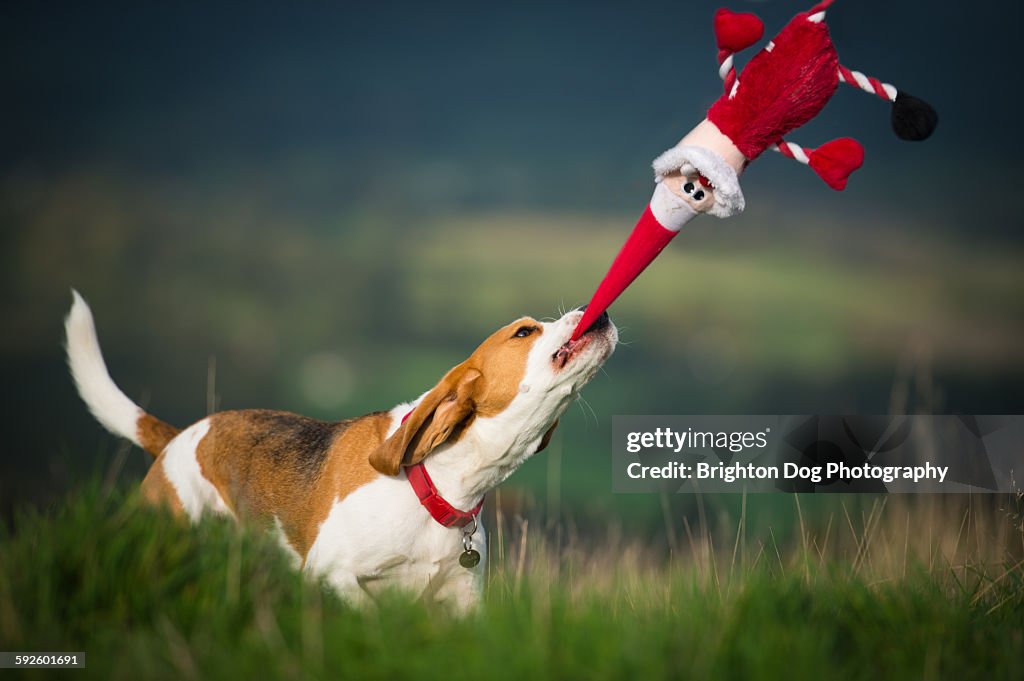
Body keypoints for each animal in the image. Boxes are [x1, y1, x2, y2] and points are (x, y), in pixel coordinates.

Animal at [66, 288, 614, 606]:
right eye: (524, 331)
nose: (604, 312)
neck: (436, 484)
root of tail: (179, 436)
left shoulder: (461, 602)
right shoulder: (332, 573)